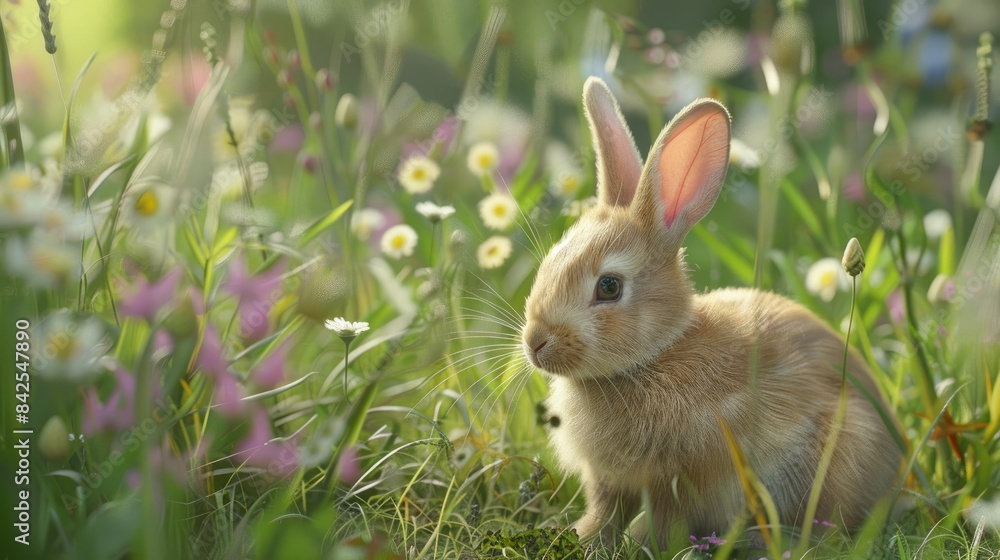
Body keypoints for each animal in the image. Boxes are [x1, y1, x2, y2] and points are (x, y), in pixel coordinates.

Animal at [521, 77, 902, 548]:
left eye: (609, 287)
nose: (535, 343)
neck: (655, 357)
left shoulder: (684, 477)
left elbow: (661, 519)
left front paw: (632, 542)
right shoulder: (608, 480)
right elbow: (603, 511)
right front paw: (580, 535)